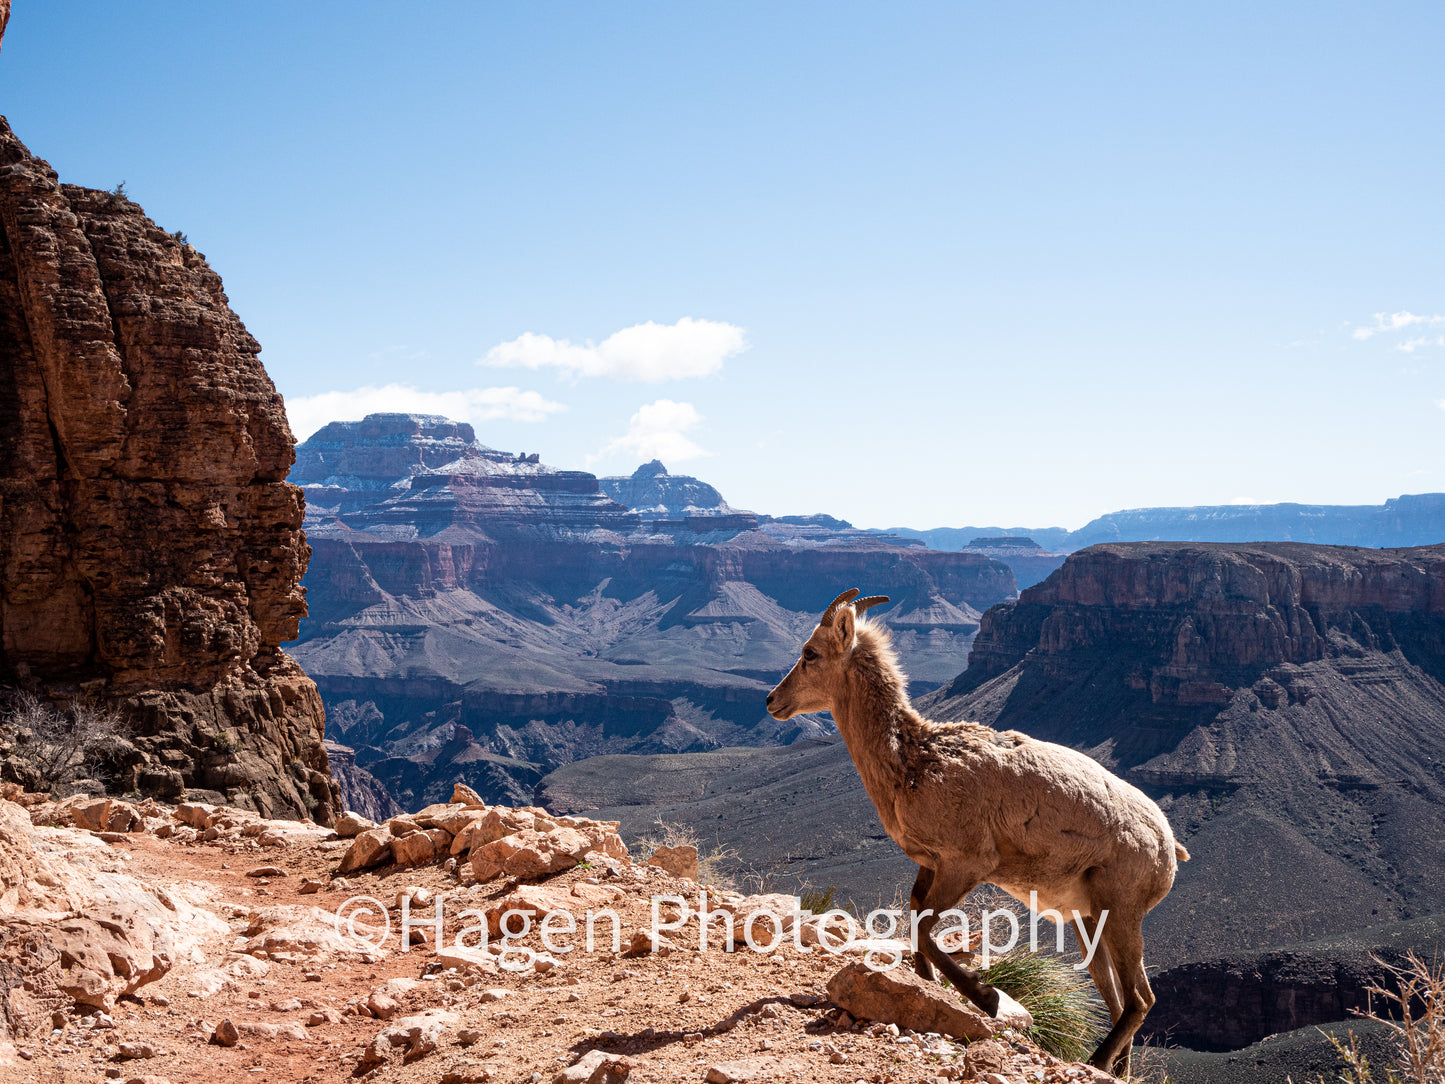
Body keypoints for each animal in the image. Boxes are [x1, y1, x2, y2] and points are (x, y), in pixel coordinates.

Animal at [768, 589, 1184, 1081]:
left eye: (810, 653)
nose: (772, 701)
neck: (914, 761)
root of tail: (1169, 847)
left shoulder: (967, 865)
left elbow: (924, 926)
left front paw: (984, 997)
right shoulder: (931, 865)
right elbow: (915, 917)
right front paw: (926, 984)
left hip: (1120, 912)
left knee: (1141, 999)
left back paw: (1096, 1061)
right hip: (1089, 921)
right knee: (1120, 999)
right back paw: (1114, 1068)